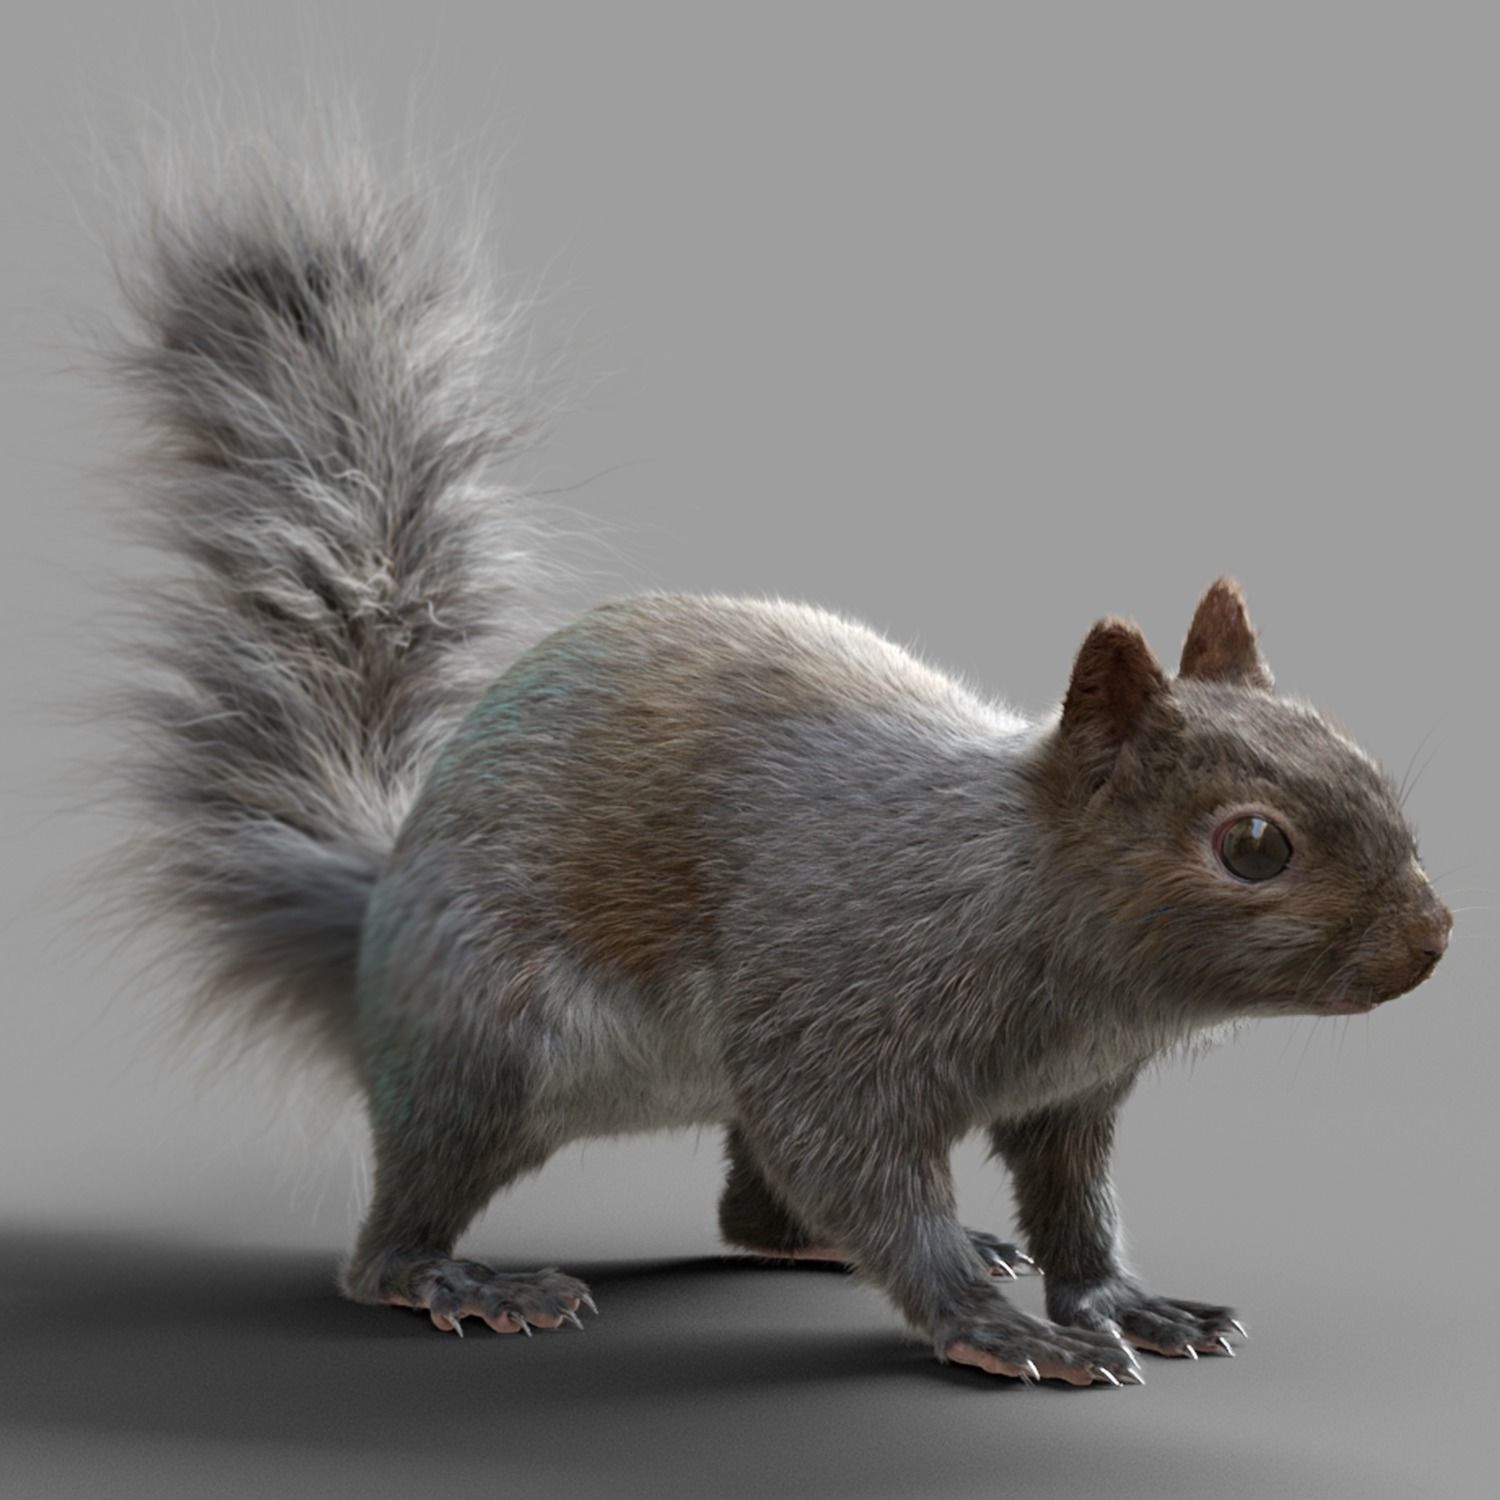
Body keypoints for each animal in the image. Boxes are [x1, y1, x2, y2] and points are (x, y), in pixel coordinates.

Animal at [97, 134, 1452, 1388]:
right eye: (1253, 845)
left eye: (1366, 762)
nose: (1434, 940)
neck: (1026, 897)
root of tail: (378, 920)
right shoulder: (838, 1010)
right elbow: (859, 1168)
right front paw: (996, 1329)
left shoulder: (1070, 1094)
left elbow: (1076, 1203)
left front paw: (1120, 1301)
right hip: (486, 1042)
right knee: (401, 1221)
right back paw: (459, 1278)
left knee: (749, 1205)